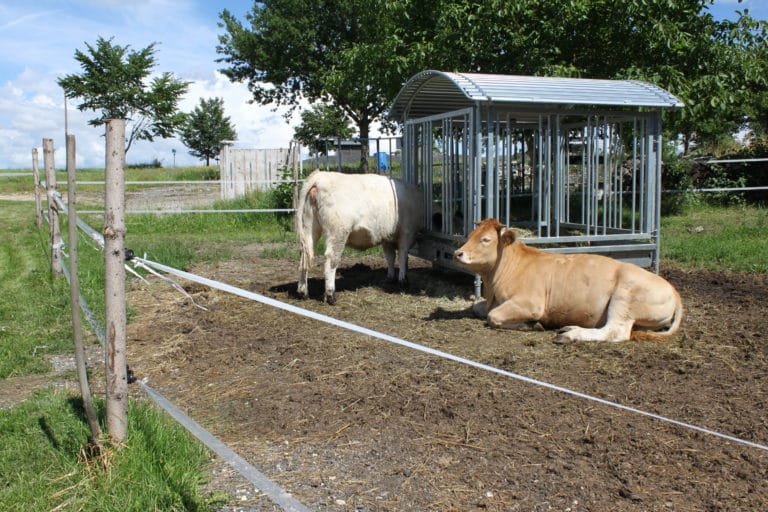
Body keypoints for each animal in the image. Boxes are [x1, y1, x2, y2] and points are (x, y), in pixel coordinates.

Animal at [296, 170, 426, 304]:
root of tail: (319, 176)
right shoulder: (407, 232)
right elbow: (402, 256)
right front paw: (403, 279)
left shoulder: (387, 236)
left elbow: (390, 257)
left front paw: (390, 277)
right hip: (338, 231)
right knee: (331, 260)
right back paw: (331, 295)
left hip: (309, 227)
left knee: (305, 256)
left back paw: (303, 292)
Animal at [452, 218, 680, 342]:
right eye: (470, 235)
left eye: (486, 239)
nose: (457, 253)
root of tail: (672, 289)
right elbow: (478, 307)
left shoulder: (531, 303)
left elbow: (493, 316)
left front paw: (532, 325)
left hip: (624, 299)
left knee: (616, 331)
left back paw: (570, 334)